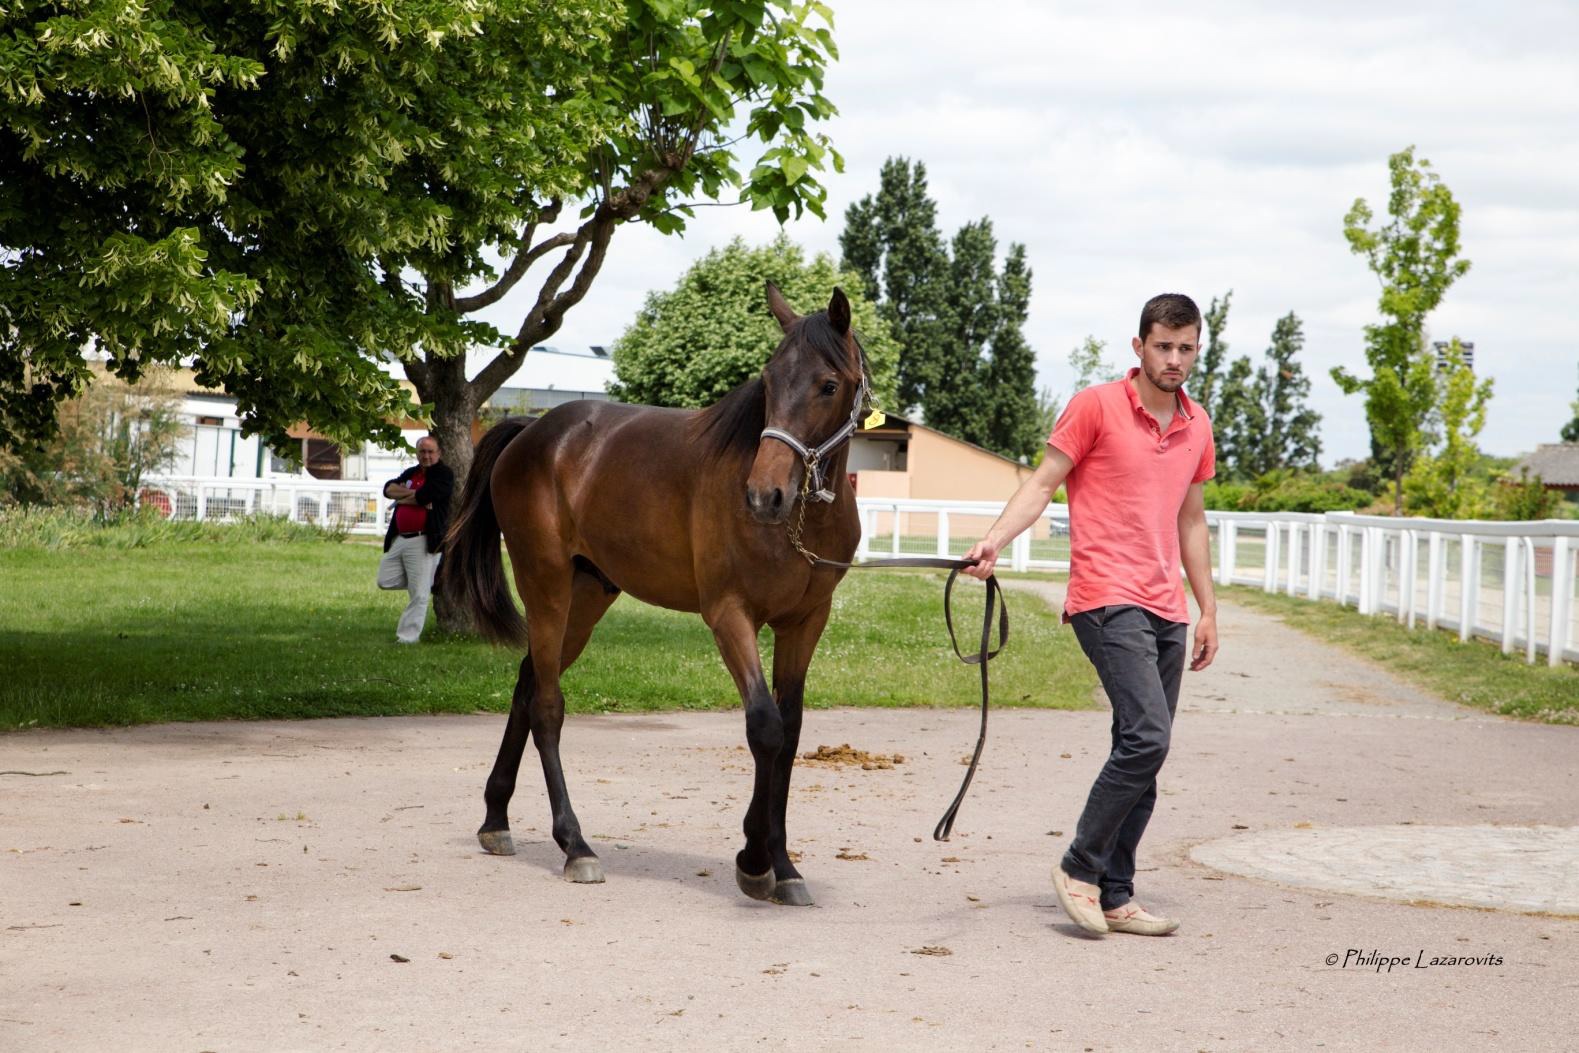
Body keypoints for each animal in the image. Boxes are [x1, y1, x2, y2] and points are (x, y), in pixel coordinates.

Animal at [445, 282, 865, 909]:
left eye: (828, 385)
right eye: (767, 381)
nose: (764, 495)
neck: (800, 523)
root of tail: (533, 432)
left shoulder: (806, 621)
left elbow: (789, 734)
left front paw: (783, 864)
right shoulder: (730, 615)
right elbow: (764, 727)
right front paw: (754, 860)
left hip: (589, 595)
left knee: (528, 682)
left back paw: (496, 818)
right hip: (546, 584)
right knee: (547, 706)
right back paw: (576, 845)